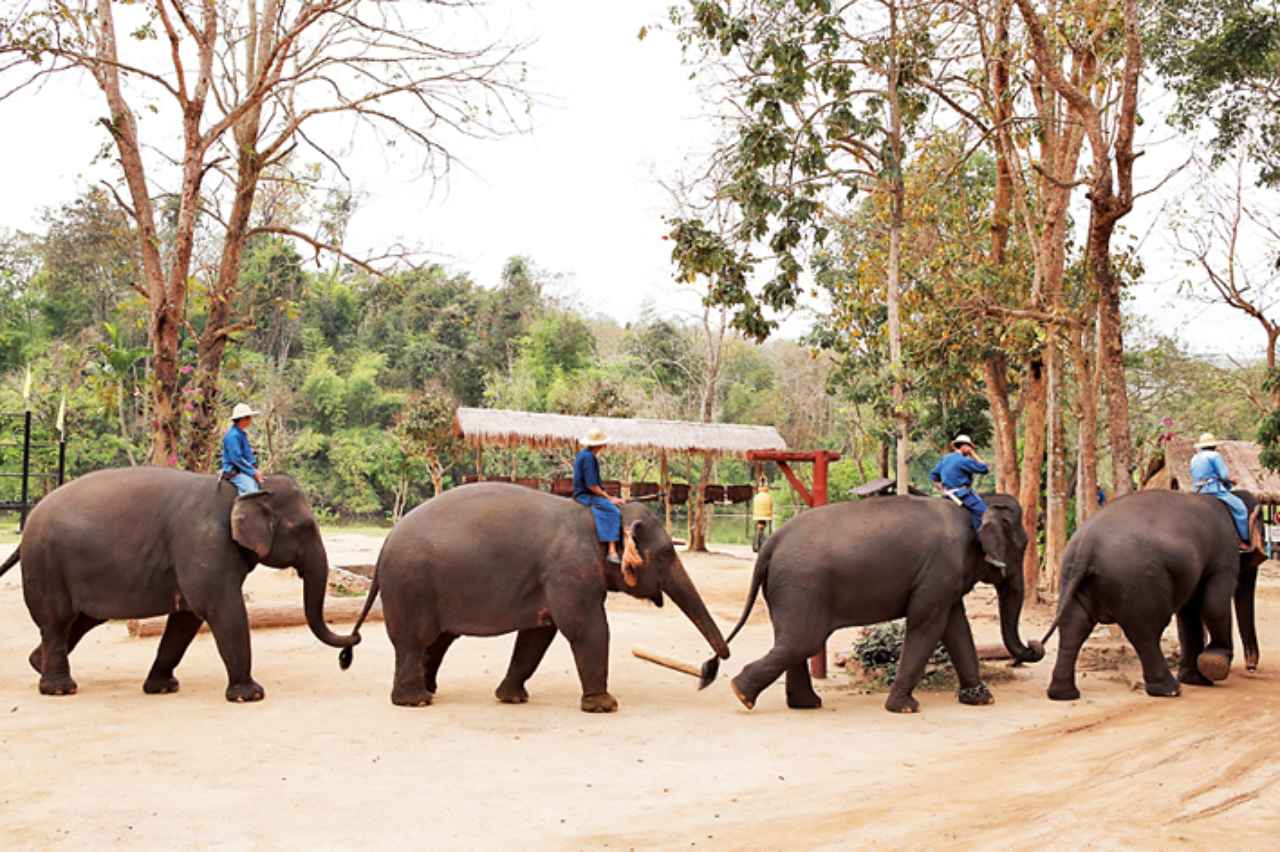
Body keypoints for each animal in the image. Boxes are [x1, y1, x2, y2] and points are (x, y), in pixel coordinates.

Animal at [1, 468, 360, 701]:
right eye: (305, 527)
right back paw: (60, 689)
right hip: (46, 563)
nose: (351, 646)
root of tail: (29, 522)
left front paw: (162, 688)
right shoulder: (204, 545)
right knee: (58, 619)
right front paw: (250, 695)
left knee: (82, 619)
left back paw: (37, 665)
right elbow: (221, 609)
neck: (244, 491)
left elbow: (187, 618)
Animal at [340, 483, 732, 711]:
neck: (598, 516)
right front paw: (605, 705)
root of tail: (384, 545)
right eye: (665, 554)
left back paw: (429, 691)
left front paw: (512, 698)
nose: (712, 666)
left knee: (437, 640)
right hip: (410, 586)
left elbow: (538, 634)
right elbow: (587, 628)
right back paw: (416, 701)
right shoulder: (569, 572)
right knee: (414, 640)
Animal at [701, 488, 1049, 711]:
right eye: (1023, 546)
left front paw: (981, 699)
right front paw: (905, 707)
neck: (973, 508)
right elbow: (927, 625)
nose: (1034, 644)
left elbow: (956, 628)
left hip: (786, 590)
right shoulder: (939, 571)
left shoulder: (942, 580)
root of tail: (772, 543)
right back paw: (742, 694)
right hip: (801, 585)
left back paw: (804, 703)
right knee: (802, 641)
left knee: (792, 642)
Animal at [1044, 483, 1264, 695]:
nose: (1252, 668)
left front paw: (1196, 679)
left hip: (1072, 576)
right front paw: (1214, 664)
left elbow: (1189, 612)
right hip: (1137, 583)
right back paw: (1170, 689)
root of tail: (1086, 545)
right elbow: (1214, 604)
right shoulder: (1224, 553)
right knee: (1145, 631)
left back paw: (1063, 693)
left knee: (1073, 627)